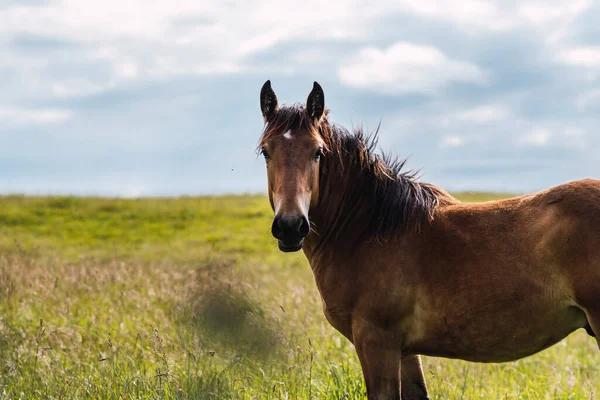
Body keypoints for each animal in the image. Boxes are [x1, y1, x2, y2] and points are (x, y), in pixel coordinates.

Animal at [254, 79, 600, 398]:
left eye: (317, 152)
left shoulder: (376, 341)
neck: (368, 229)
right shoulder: (405, 352)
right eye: (266, 151)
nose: (290, 226)